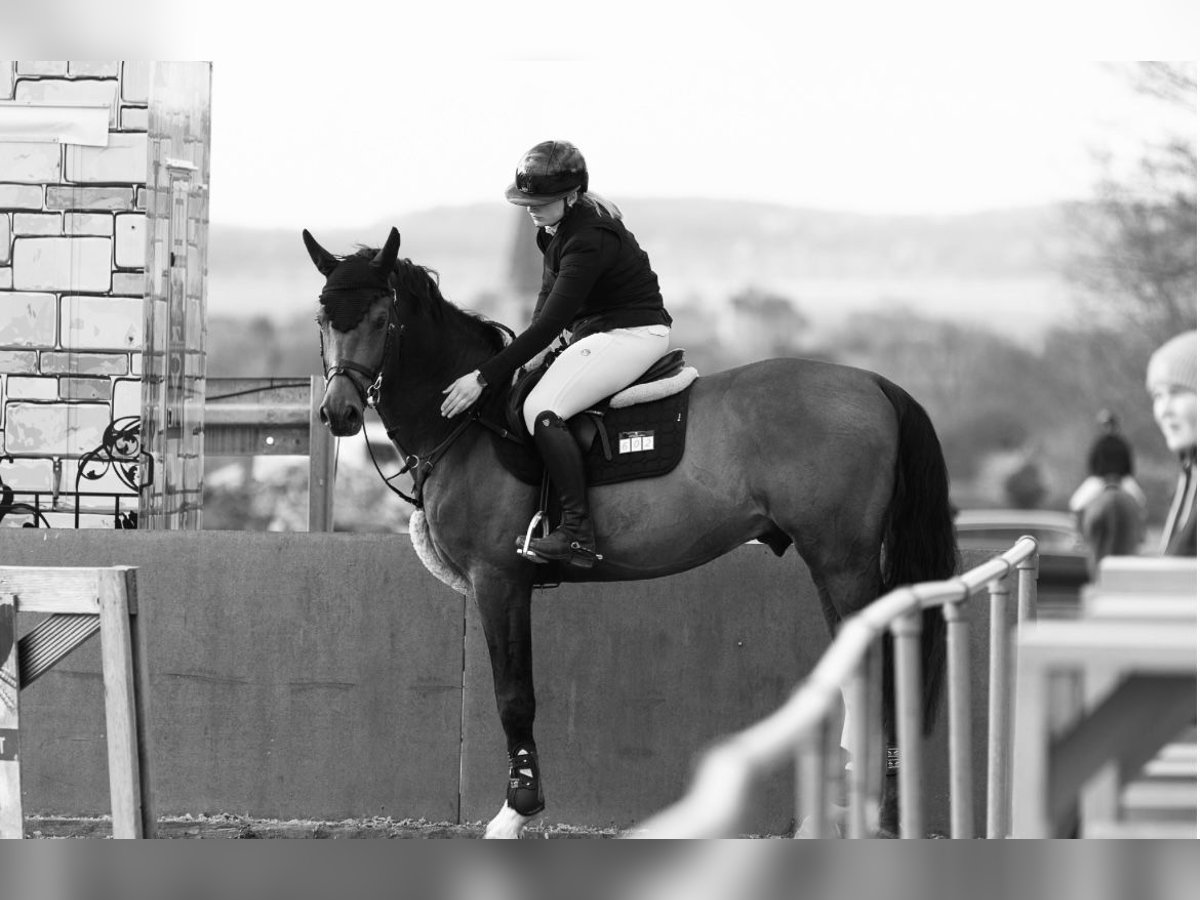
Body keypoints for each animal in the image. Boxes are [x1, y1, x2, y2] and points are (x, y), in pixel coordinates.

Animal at [304, 226, 958, 838]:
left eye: (382, 318)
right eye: (323, 318)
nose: (338, 413)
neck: (471, 421)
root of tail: (873, 383)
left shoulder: (499, 579)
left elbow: (514, 695)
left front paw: (519, 808)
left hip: (842, 558)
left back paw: (873, 810)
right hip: (831, 559)